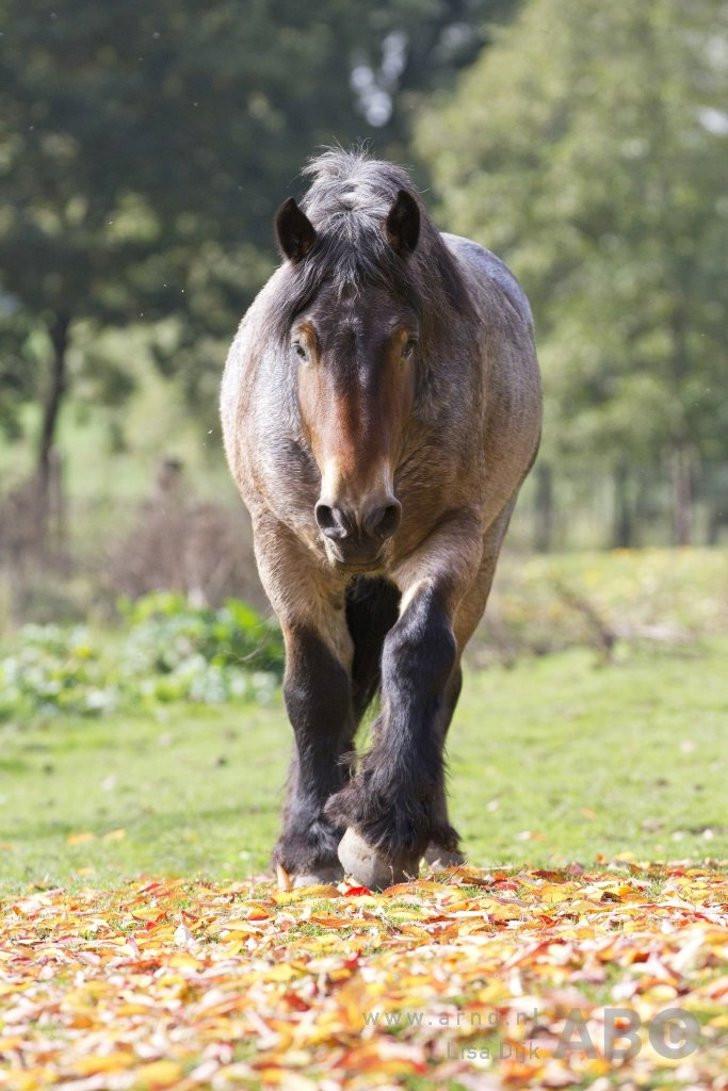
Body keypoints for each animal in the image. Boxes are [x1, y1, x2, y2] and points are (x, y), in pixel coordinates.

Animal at [221, 149, 541, 889]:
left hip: (486, 549)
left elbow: (418, 656)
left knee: (443, 677)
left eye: (407, 341)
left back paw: (434, 834)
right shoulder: (281, 545)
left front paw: (380, 832)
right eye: (302, 345)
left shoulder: (455, 533)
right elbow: (314, 684)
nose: (357, 517)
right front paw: (310, 843)